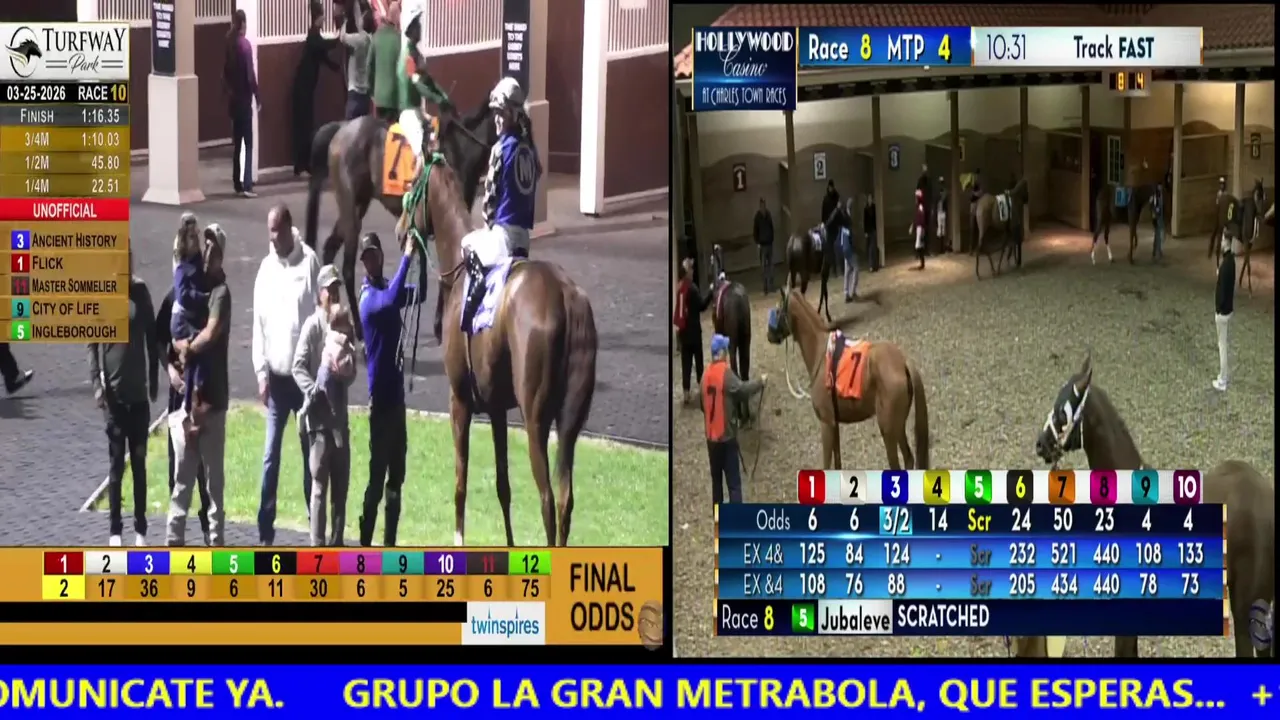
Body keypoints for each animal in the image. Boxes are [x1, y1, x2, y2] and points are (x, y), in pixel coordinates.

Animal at [304, 100, 498, 342]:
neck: (460, 150)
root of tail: (342, 128)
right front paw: (439, 325)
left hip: (356, 206)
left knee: (330, 249)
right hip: (350, 207)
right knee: (348, 267)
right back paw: (359, 328)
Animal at [396, 160, 597, 547]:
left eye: (412, 185)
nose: (400, 233)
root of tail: (567, 295)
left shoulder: (460, 400)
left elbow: (460, 481)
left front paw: (458, 540)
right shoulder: (496, 408)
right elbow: (503, 486)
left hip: (535, 418)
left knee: (547, 499)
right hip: (569, 421)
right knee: (565, 498)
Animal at [765, 287, 929, 470]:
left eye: (778, 310)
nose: (769, 335)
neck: (821, 354)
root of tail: (902, 362)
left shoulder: (827, 424)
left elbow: (826, 464)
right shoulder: (834, 425)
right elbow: (837, 463)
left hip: (888, 432)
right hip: (898, 428)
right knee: (909, 459)